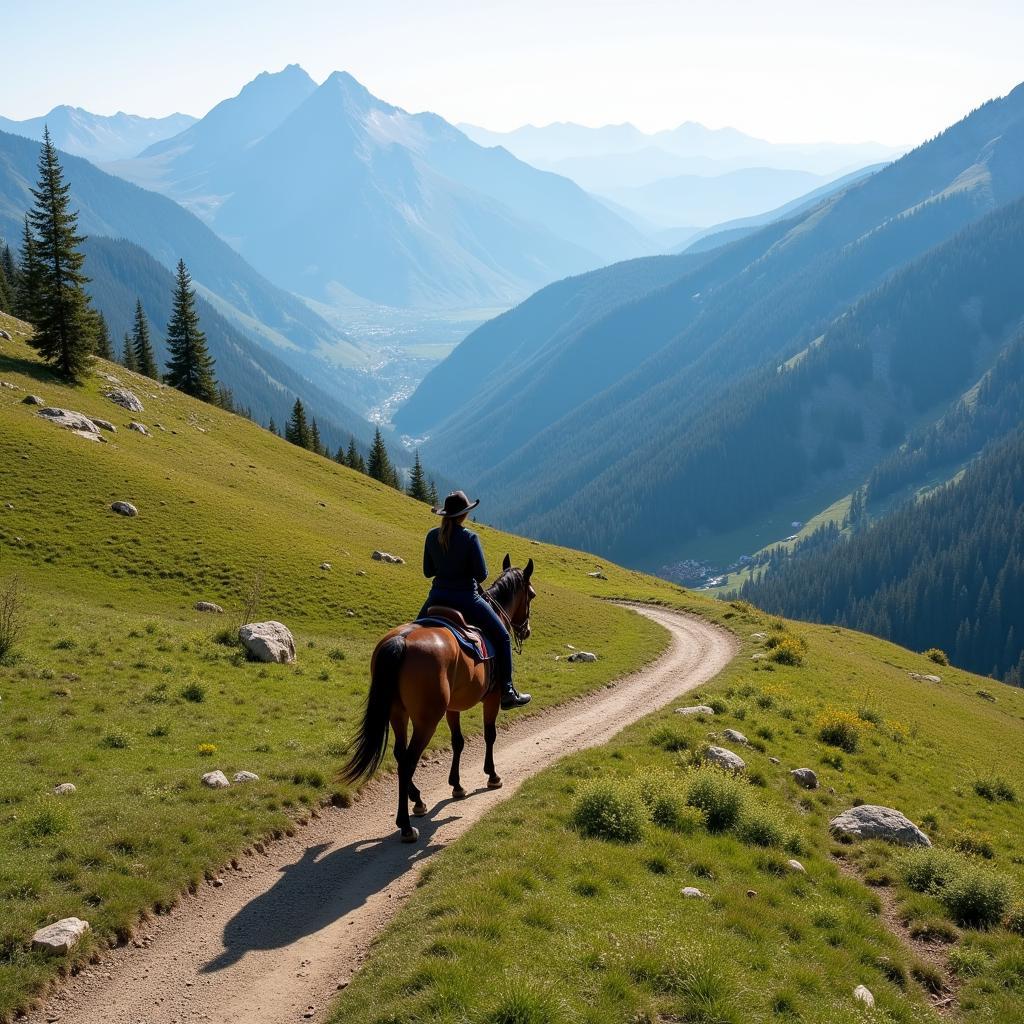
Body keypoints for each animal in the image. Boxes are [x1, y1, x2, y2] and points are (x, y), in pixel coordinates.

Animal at [342, 557, 536, 843]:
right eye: (531, 595)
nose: (526, 630)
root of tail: (400, 641)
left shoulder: (452, 708)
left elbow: (458, 742)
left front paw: (457, 785)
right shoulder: (491, 699)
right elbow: (490, 735)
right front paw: (492, 775)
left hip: (397, 713)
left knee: (400, 754)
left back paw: (417, 799)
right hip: (426, 720)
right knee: (408, 760)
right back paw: (406, 825)